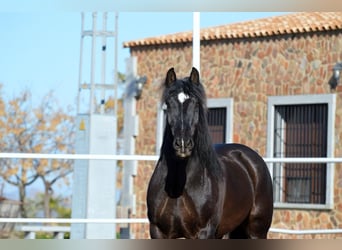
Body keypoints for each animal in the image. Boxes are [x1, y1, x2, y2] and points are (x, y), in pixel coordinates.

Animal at [146, 67, 272, 239]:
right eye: (169, 104)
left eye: (195, 104)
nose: (183, 144)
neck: (178, 184)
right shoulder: (158, 232)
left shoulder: (204, 232)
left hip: (256, 231)